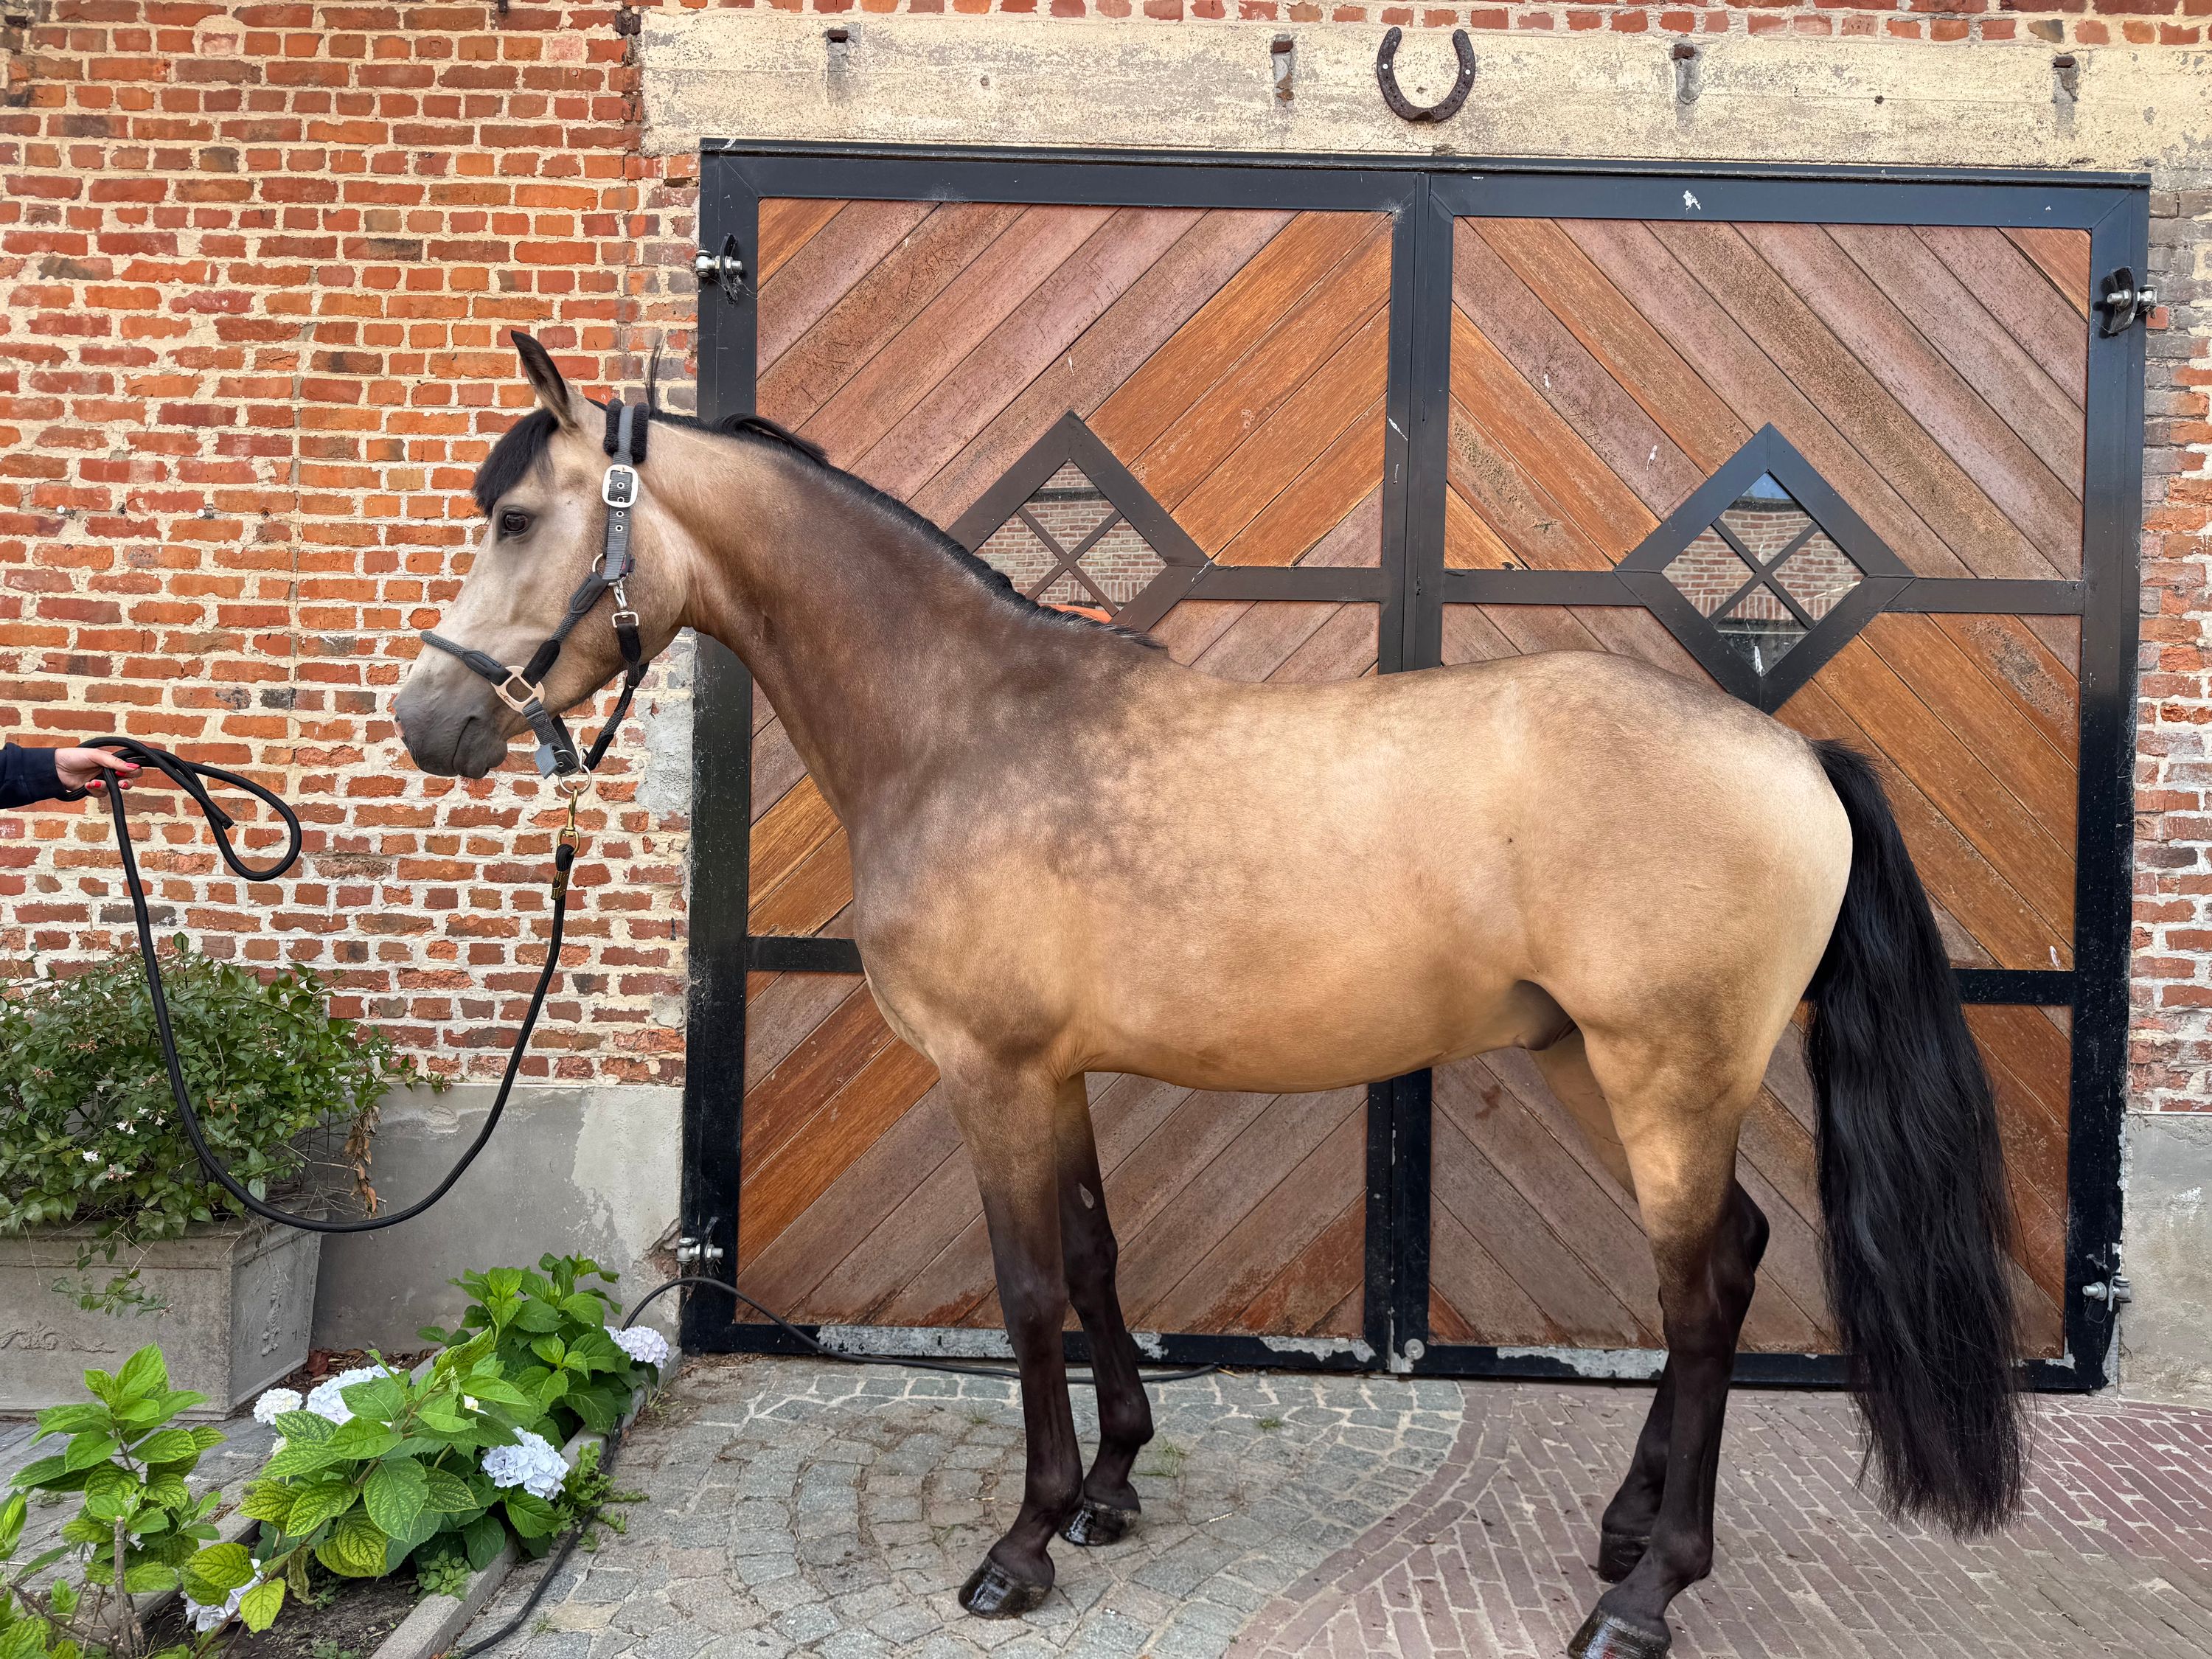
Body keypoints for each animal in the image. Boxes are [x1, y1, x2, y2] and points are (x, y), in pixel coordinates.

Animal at [394, 334, 2027, 1659]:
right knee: (1730, 1262)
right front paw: (1113, 1487)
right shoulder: (1056, 1075)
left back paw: (1643, 1594)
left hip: (1664, 1077)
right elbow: (1098, 1262)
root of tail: (1795, 751)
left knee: (1702, 1299)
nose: (429, 720)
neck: (966, 724)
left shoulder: (991, 1074)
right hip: (1601, 1063)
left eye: (519, 518)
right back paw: (1628, 1535)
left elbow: (1031, 1291)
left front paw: (1022, 1544)